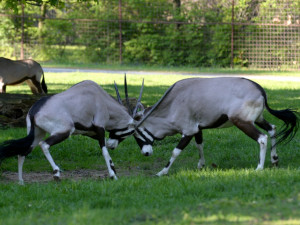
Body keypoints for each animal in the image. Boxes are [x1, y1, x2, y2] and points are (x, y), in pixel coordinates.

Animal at [134, 77, 298, 176]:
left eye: (136, 133)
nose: (146, 153)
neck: (173, 102)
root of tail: (260, 89)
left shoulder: (188, 131)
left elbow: (175, 152)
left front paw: (162, 172)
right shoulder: (197, 129)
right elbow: (199, 145)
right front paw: (201, 166)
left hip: (242, 122)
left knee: (262, 138)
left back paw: (259, 167)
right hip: (258, 119)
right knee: (272, 129)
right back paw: (274, 160)